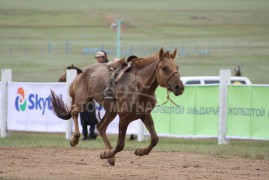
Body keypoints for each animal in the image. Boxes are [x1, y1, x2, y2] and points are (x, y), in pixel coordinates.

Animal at [49, 47, 184, 166]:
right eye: (164, 68)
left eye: (177, 67)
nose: (180, 87)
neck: (138, 88)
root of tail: (80, 75)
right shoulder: (124, 118)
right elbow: (120, 145)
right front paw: (105, 154)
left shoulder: (145, 115)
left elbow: (155, 139)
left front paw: (140, 151)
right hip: (82, 101)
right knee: (74, 112)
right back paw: (75, 139)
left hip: (111, 111)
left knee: (100, 127)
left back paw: (110, 156)